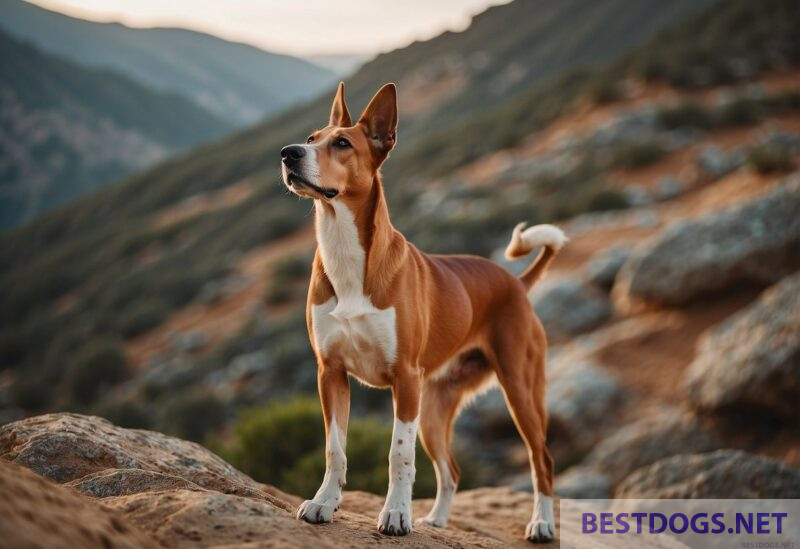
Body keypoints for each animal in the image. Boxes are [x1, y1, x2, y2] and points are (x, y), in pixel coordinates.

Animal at [280, 82, 564, 544]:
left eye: (341, 144)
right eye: (310, 138)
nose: (288, 153)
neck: (345, 253)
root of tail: (517, 283)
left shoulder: (404, 380)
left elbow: (399, 455)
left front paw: (396, 515)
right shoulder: (331, 373)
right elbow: (334, 449)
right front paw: (324, 503)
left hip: (519, 391)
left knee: (543, 460)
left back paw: (541, 524)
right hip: (433, 410)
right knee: (452, 470)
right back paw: (438, 519)